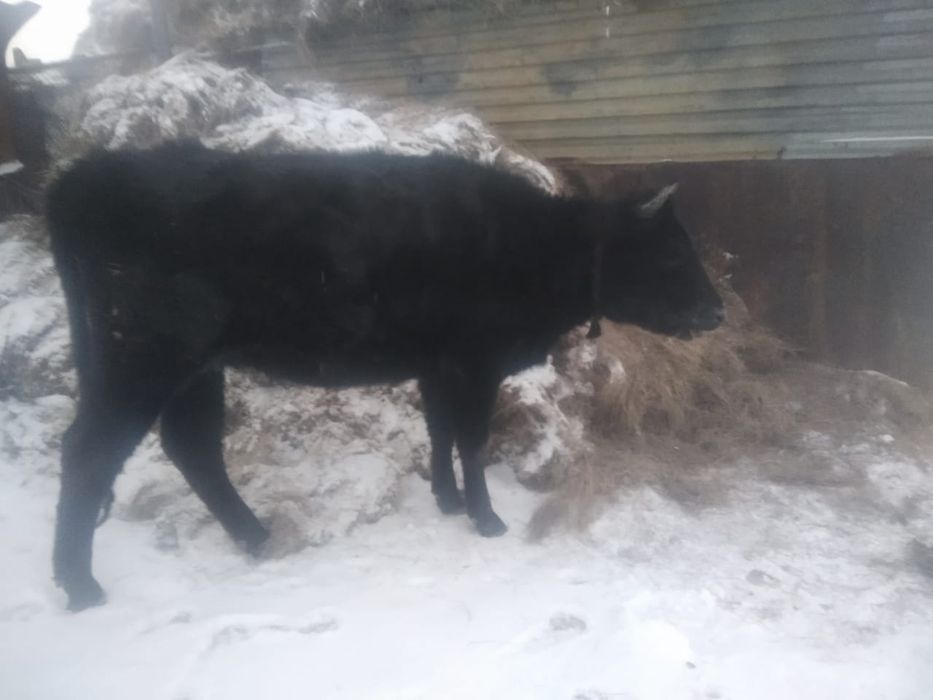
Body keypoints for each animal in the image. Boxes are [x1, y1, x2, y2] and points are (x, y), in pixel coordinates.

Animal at [46, 141, 724, 611]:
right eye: (672, 253)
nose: (716, 311)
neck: (537, 249)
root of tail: (83, 175)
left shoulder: (438, 366)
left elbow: (440, 432)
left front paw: (447, 501)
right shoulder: (475, 361)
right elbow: (472, 439)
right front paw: (485, 519)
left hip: (195, 369)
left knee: (192, 446)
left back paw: (255, 536)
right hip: (142, 357)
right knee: (89, 450)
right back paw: (80, 584)